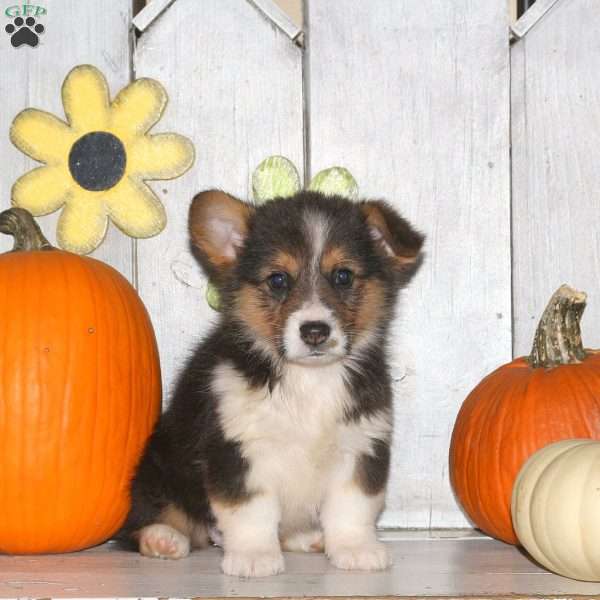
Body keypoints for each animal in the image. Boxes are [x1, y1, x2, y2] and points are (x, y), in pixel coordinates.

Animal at [122, 191, 424, 576]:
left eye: (343, 276)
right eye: (278, 280)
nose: (314, 331)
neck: (309, 378)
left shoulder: (359, 446)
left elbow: (352, 509)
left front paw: (356, 549)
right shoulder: (238, 450)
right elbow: (251, 512)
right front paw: (254, 557)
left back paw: (308, 537)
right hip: (158, 469)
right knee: (146, 521)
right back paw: (162, 538)